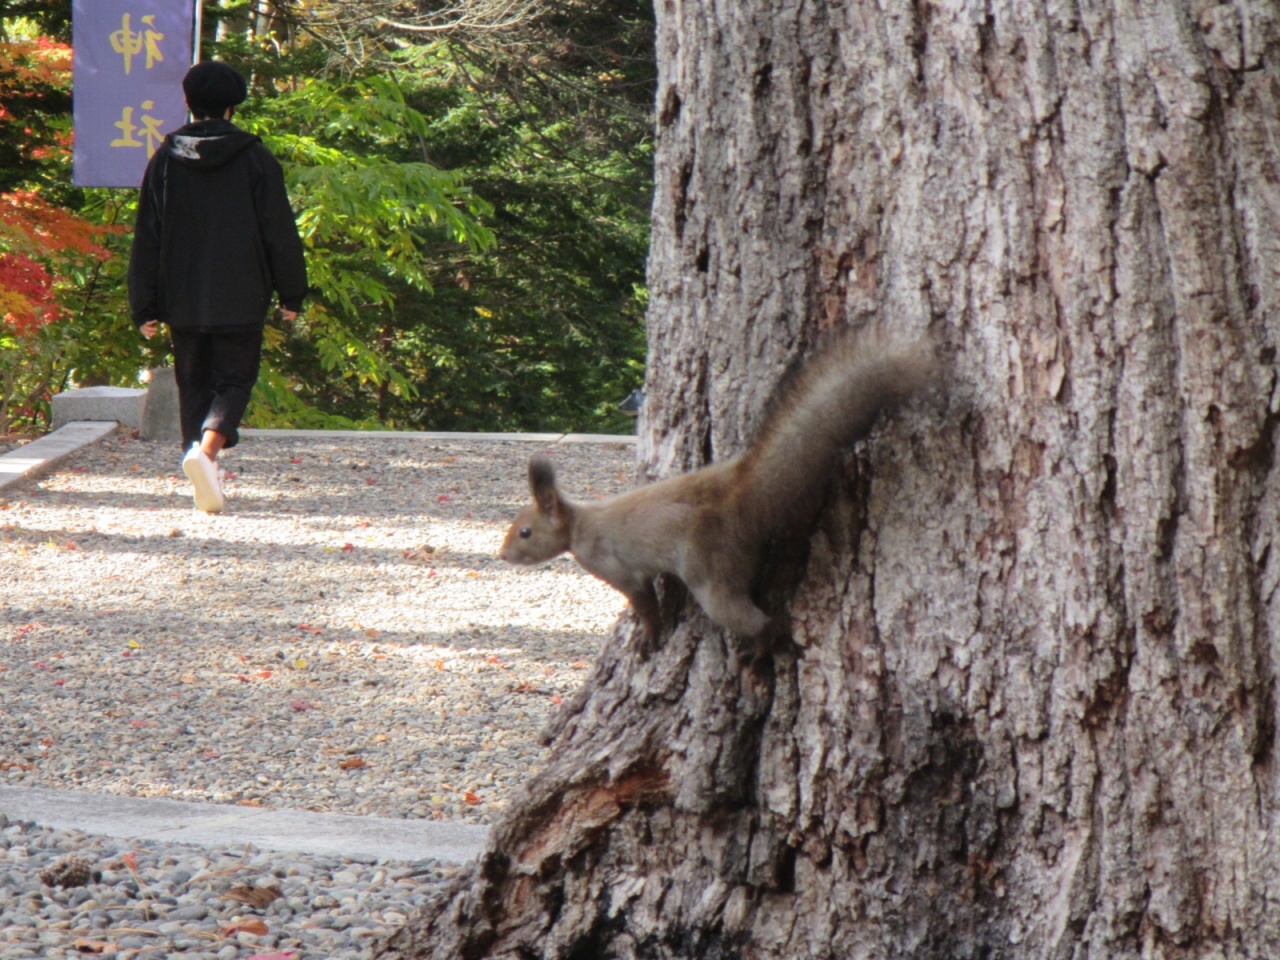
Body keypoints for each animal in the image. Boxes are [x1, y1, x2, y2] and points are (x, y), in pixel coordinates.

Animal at [498, 326, 934, 641]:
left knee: (740, 614)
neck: (579, 525)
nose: (502, 556)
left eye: (525, 532)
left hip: (712, 566)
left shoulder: (616, 567)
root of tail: (739, 494)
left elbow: (644, 603)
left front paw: (650, 639)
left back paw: (771, 638)